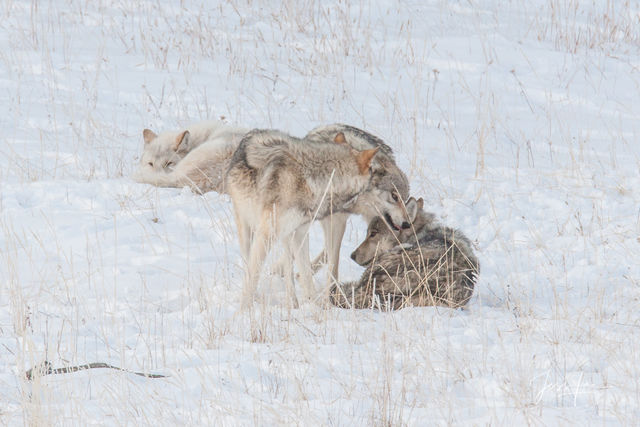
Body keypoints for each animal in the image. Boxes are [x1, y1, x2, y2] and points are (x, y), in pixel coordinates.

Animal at [228, 129, 412, 310]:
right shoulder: (267, 234)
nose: (407, 223)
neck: (315, 179)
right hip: (248, 228)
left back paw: (293, 303)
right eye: (394, 196)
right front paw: (244, 310)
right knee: (249, 261)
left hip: (287, 235)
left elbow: (307, 276)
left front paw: (316, 308)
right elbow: (253, 276)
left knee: (289, 268)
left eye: (404, 199)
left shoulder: (300, 233)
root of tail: (250, 135)